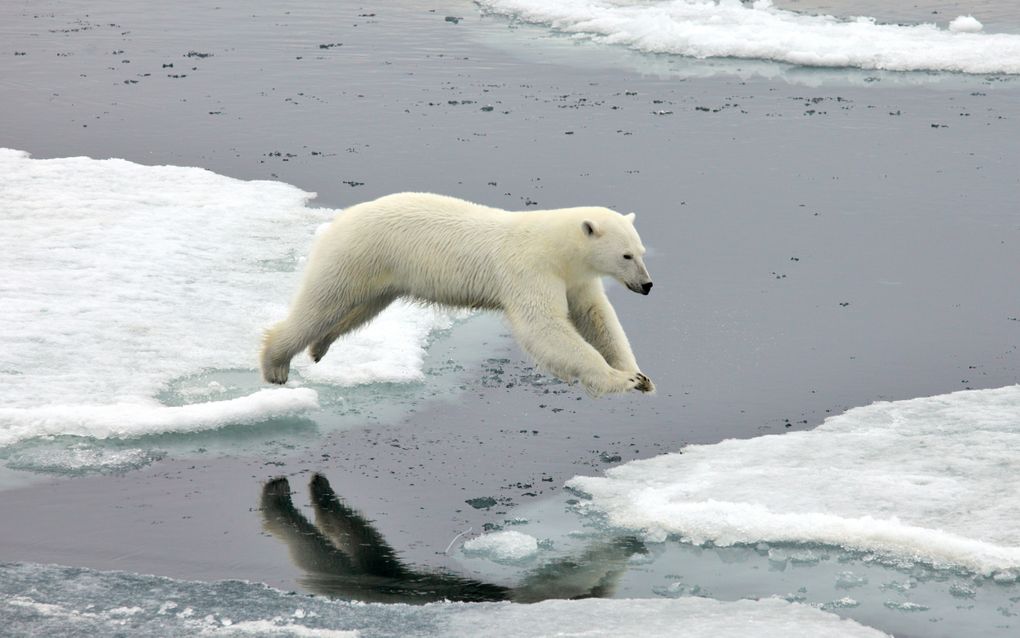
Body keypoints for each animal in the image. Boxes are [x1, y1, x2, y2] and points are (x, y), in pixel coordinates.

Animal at [261, 191, 652, 396]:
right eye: (626, 255)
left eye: (641, 251)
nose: (647, 285)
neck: (556, 246)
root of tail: (339, 219)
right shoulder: (530, 269)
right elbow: (544, 327)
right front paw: (622, 379)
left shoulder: (575, 278)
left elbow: (596, 317)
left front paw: (640, 375)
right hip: (356, 255)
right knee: (321, 304)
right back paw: (276, 364)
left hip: (381, 275)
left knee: (359, 310)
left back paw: (319, 347)